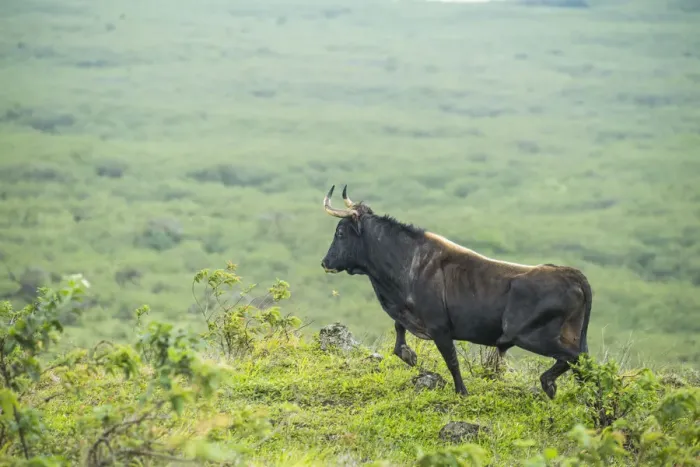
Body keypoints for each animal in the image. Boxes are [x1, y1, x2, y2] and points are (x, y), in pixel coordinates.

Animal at [320, 185, 593, 399]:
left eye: (340, 233)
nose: (325, 262)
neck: (409, 262)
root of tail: (572, 274)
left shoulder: (440, 328)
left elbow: (451, 360)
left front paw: (462, 392)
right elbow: (399, 333)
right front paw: (409, 355)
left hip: (529, 335)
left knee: (576, 358)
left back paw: (550, 384)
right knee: (582, 364)